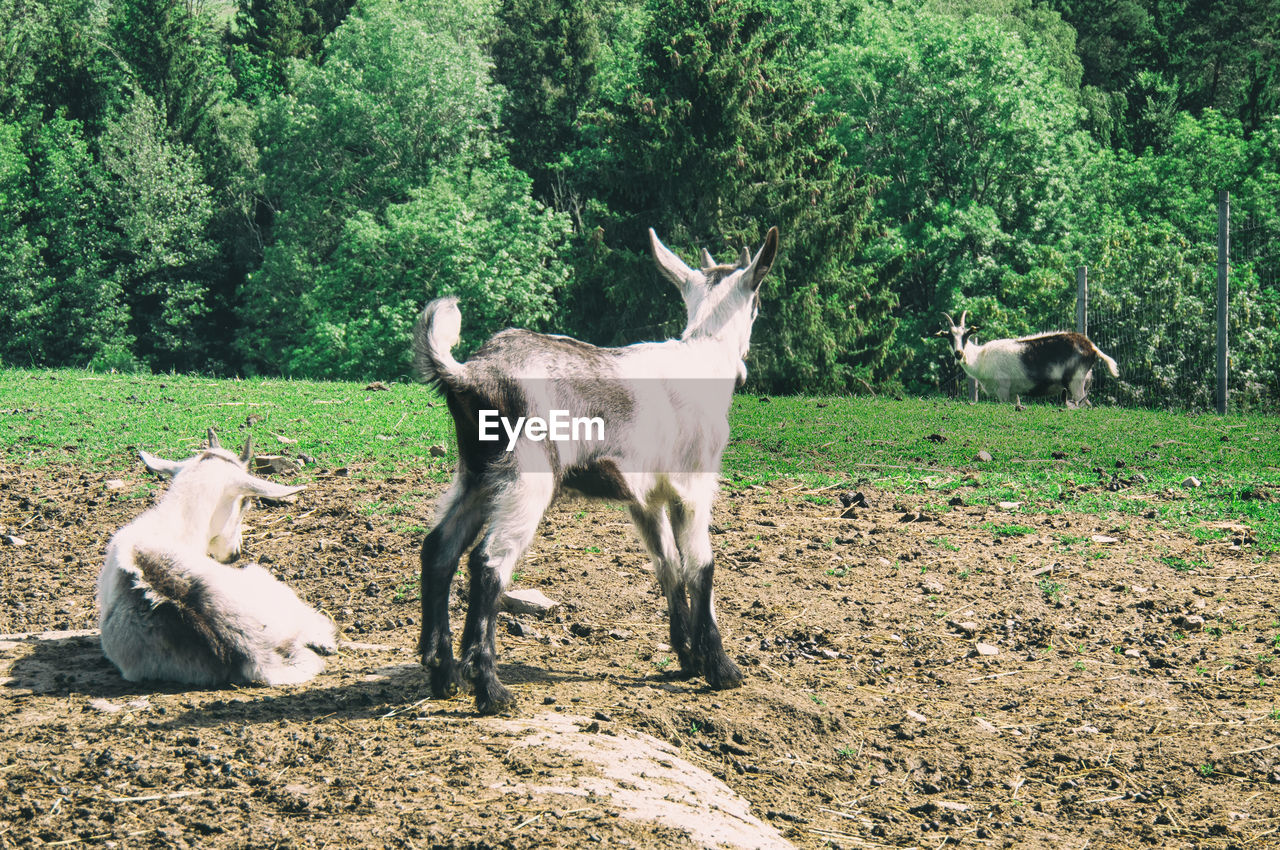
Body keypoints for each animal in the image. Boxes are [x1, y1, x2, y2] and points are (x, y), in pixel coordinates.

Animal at [412, 226, 779, 714]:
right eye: (757, 304)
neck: (703, 359)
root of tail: (472, 373)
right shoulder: (694, 486)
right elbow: (702, 566)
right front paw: (721, 668)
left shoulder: (646, 498)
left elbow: (668, 565)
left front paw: (687, 658)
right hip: (526, 475)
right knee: (488, 562)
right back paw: (489, 688)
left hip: (477, 473)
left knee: (440, 549)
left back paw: (443, 675)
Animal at [940, 311, 1120, 409]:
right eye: (949, 337)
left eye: (966, 335)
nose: (959, 353)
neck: (981, 357)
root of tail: (1092, 347)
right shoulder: (1013, 393)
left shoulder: (1002, 389)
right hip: (1084, 382)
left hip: (1075, 382)